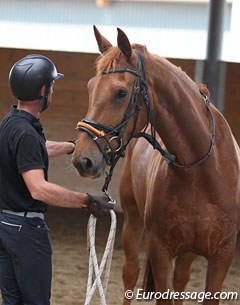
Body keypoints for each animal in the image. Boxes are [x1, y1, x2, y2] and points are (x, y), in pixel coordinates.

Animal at [72, 26, 240, 304]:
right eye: (89, 87)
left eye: (121, 92)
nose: (82, 159)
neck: (200, 171)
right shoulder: (160, 250)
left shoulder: (222, 255)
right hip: (132, 223)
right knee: (130, 274)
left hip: (188, 252)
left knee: (180, 281)